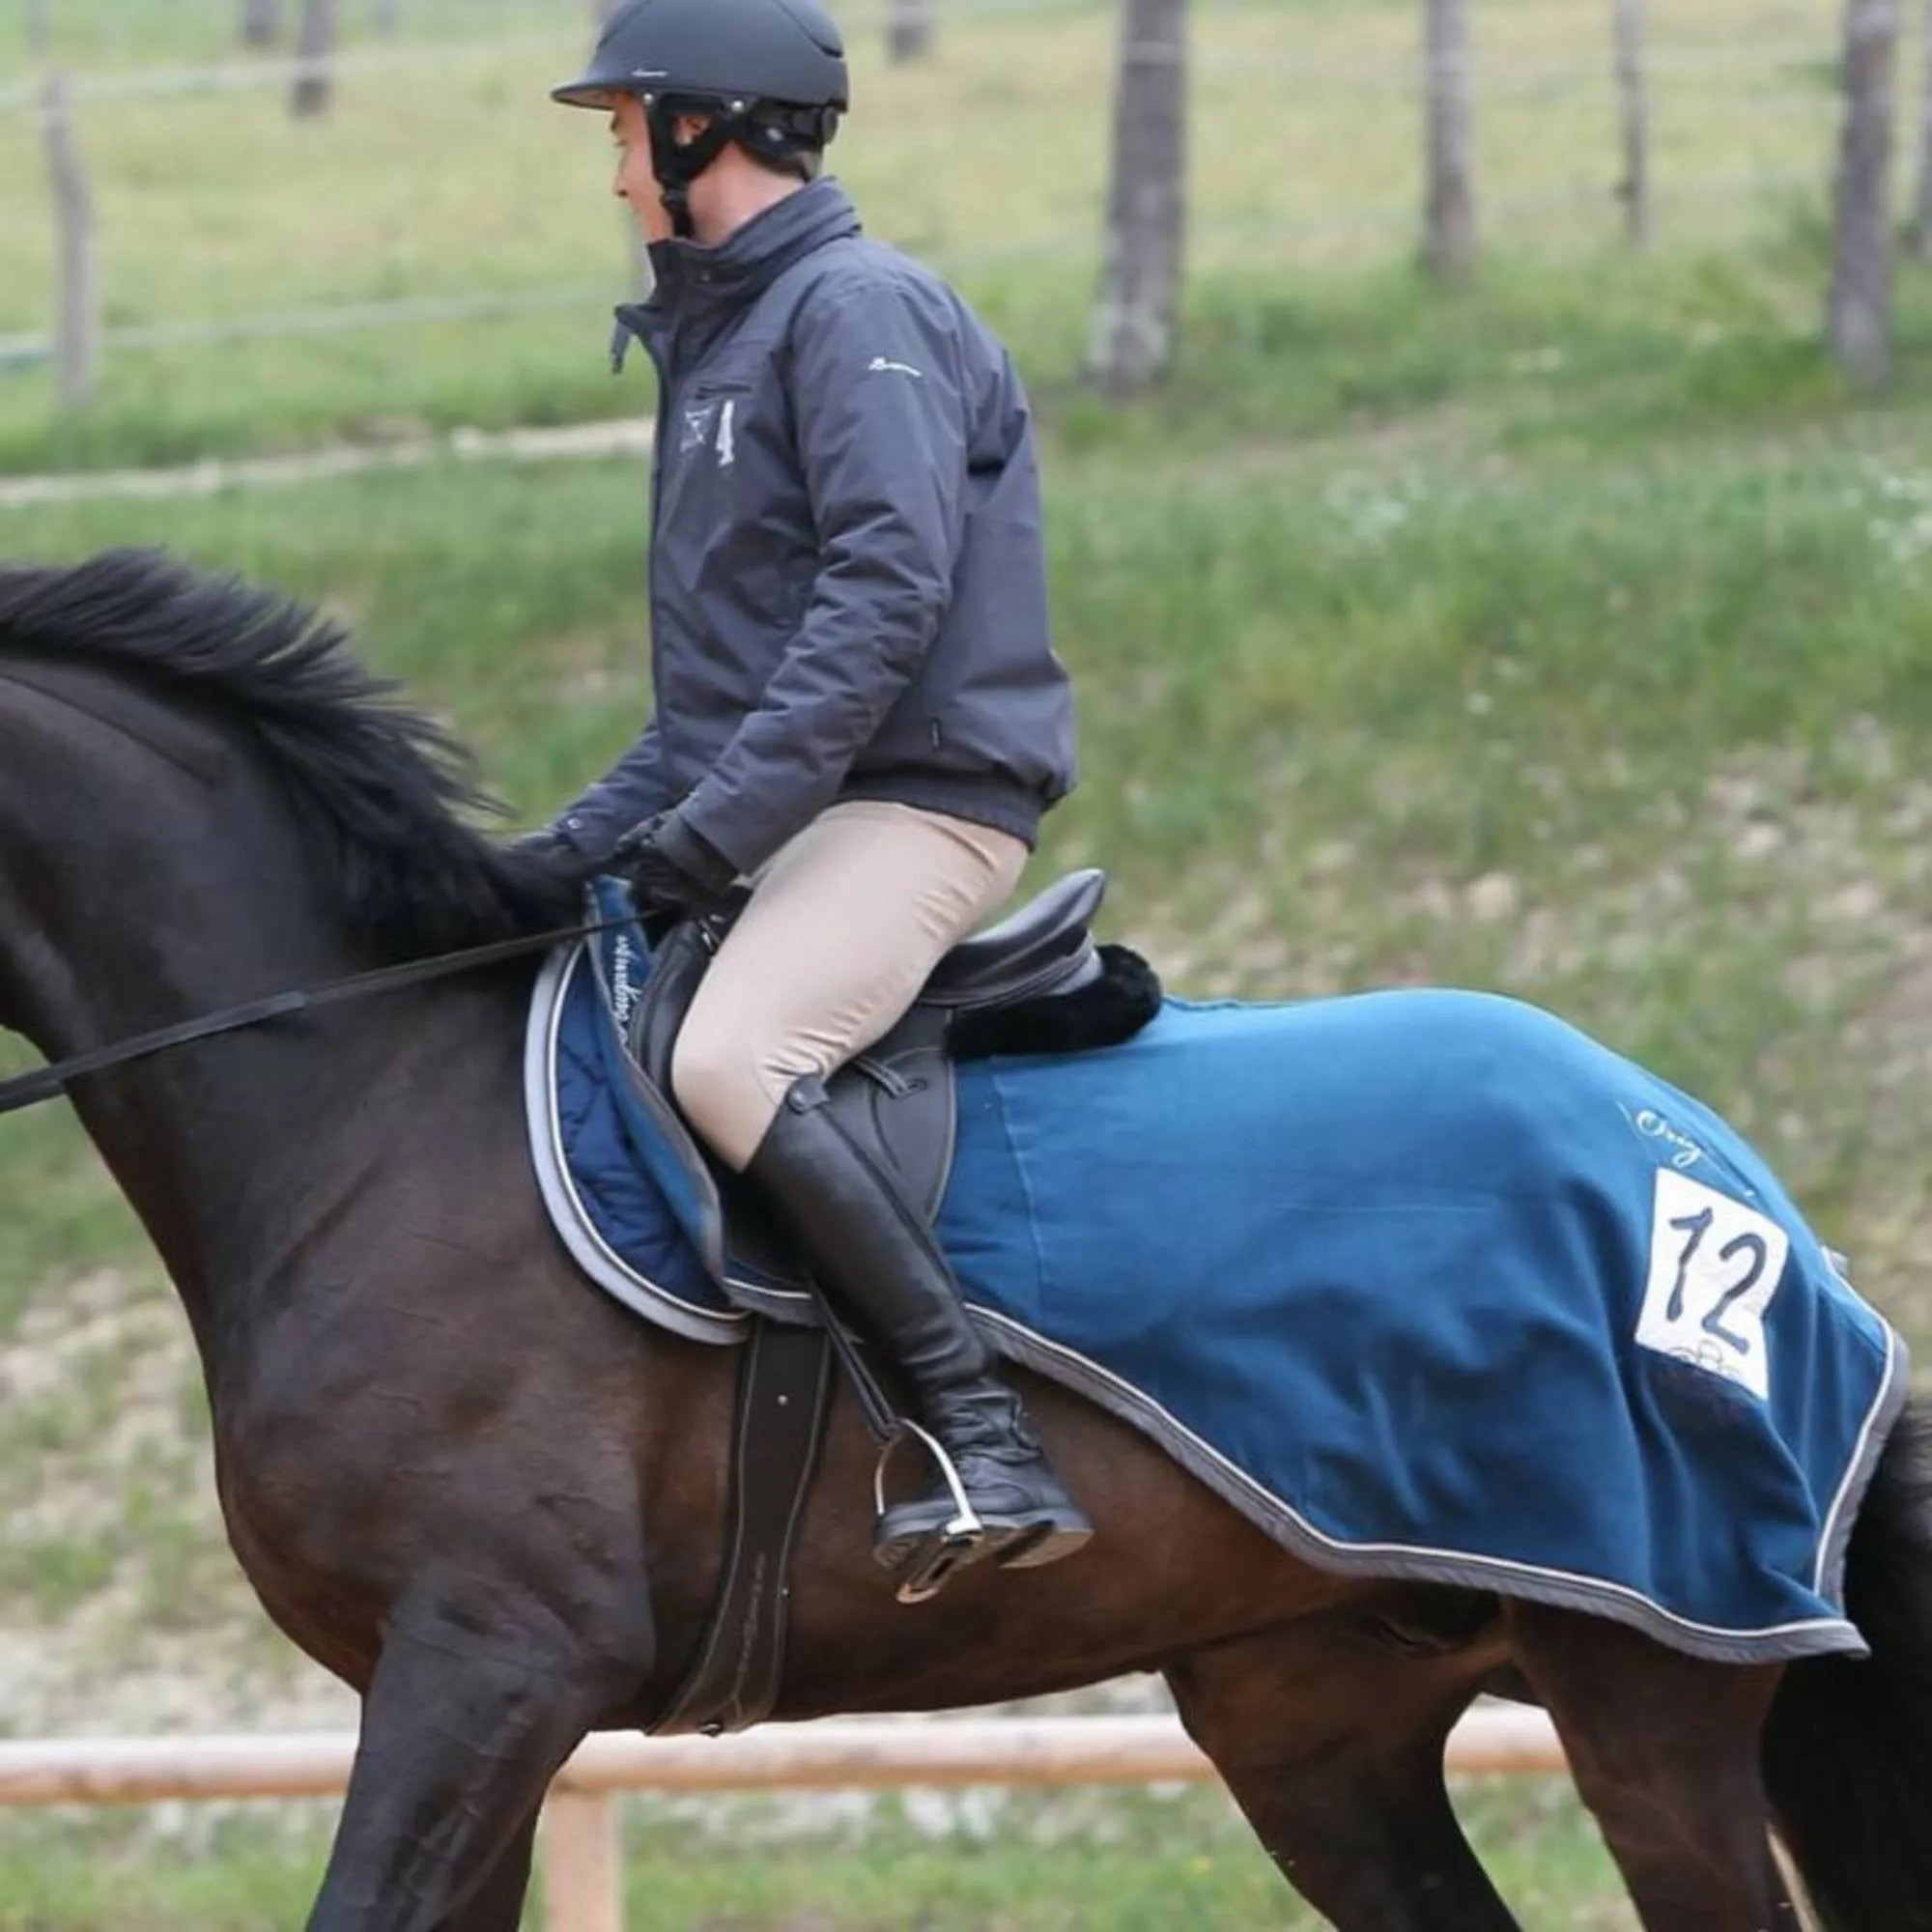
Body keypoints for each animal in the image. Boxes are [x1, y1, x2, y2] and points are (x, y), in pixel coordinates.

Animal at [3, 549, 1932, 1932]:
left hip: (1648, 1679)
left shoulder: (492, 1665)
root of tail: (1716, 1167)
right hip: (1317, 1713)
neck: (361, 1096)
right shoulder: (461, 1701)